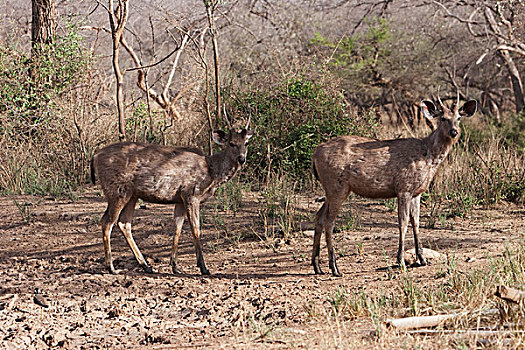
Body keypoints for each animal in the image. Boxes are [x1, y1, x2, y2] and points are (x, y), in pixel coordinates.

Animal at [90, 116, 254, 274]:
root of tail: (95, 156)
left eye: (246, 143)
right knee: (107, 221)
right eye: (231, 143)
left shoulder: (180, 199)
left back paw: (146, 265)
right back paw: (111, 267)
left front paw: (175, 266)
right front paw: (203, 267)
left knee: (124, 223)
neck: (211, 172)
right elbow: (196, 228)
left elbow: (177, 228)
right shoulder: (191, 193)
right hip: (118, 190)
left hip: (132, 194)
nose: (242, 159)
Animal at [310, 95, 476, 276]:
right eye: (443, 118)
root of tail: (315, 155)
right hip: (338, 186)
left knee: (319, 216)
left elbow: (416, 222)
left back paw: (317, 266)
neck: (428, 157)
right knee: (329, 221)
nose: (454, 132)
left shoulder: (416, 192)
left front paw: (422, 259)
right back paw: (334, 267)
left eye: (458, 118)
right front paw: (401, 261)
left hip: (331, 189)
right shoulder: (404, 188)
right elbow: (403, 223)